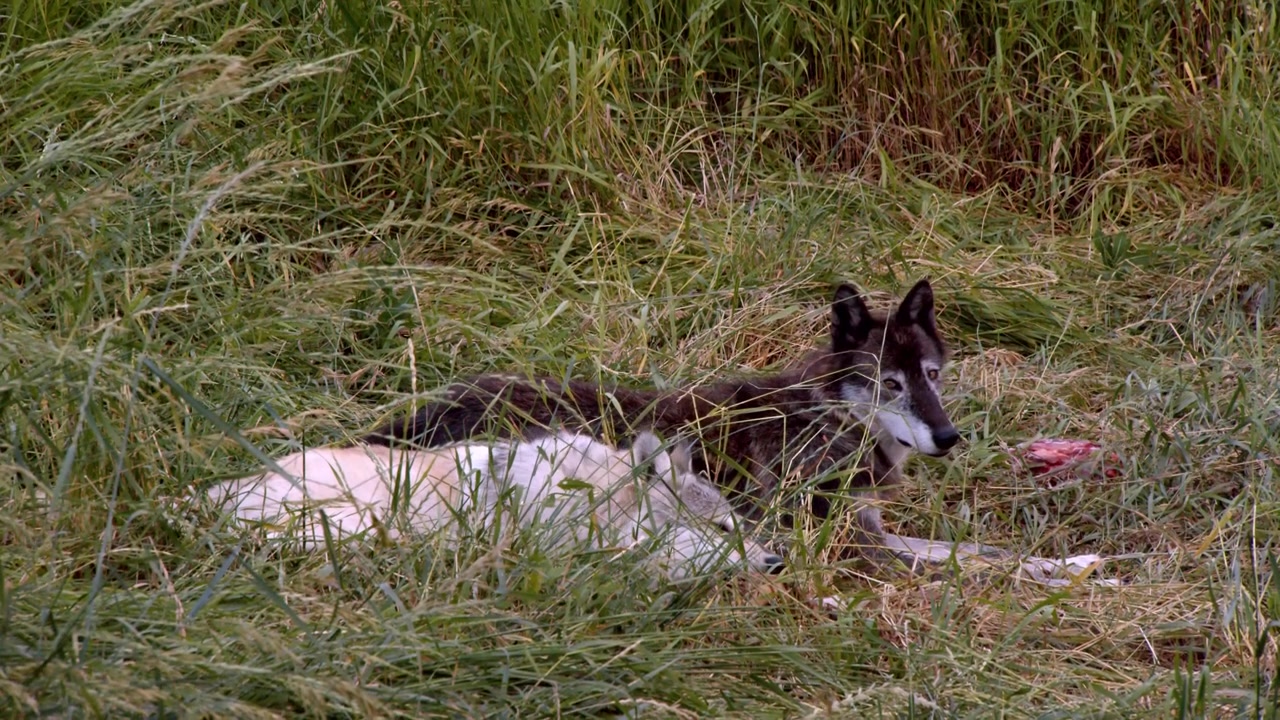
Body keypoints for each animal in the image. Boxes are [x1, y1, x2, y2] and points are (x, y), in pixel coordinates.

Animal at [364, 279, 959, 563]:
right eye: (890, 385)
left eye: (932, 375)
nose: (950, 437)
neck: (824, 415)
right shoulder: (857, 544)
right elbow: (966, 562)